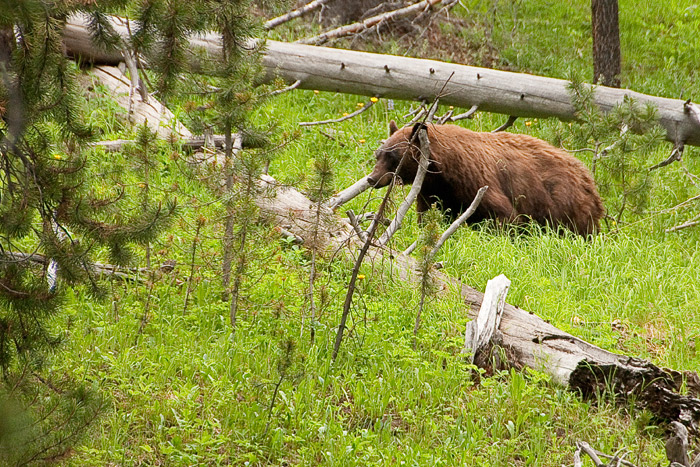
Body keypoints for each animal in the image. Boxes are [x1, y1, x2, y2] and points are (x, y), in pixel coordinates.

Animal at [370, 121, 604, 238]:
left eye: (393, 156)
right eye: (378, 154)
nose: (372, 178)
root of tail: (589, 180)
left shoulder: (477, 182)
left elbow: (504, 215)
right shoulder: (433, 191)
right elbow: (428, 215)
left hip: (566, 204)